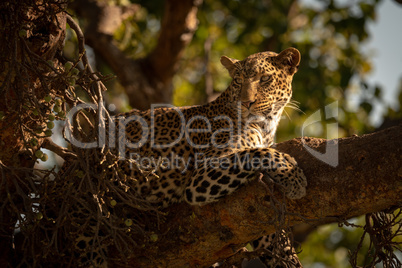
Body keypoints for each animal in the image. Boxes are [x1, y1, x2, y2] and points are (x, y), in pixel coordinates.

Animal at [74, 47, 308, 266]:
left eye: (265, 79)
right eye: (238, 81)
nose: (246, 103)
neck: (266, 126)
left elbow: (279, 246)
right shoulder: (201, 178)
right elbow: (254, 153)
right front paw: (293, 175)